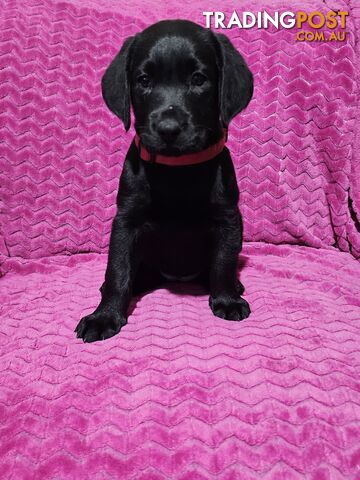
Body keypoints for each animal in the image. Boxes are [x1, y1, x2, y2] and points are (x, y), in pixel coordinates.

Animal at [74, 18, 253, 342]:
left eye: (198, 79)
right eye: (144, 80)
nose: (168, 128)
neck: (177, 169)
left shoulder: (228, 218)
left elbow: (223, 262)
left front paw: (227, 299)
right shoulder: (126, 221)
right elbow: (117, 270)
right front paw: (104, 316)